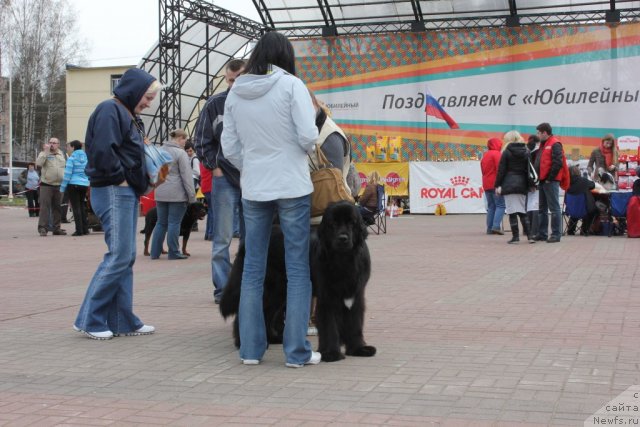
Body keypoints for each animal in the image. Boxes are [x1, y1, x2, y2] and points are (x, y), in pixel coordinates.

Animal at [220, 202, 376, 362]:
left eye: (352, 223)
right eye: (333, 223)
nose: (343, 238)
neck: (344, 260)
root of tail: (246, 243)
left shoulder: (356, 294)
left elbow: (355, 323)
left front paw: (358, 348)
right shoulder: (327, 297)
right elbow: (329, 325)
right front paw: (330, 353)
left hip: (279, 291)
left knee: (267, 313)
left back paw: (273, 338)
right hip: (268, 288)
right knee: (247, 312)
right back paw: (242, 342)